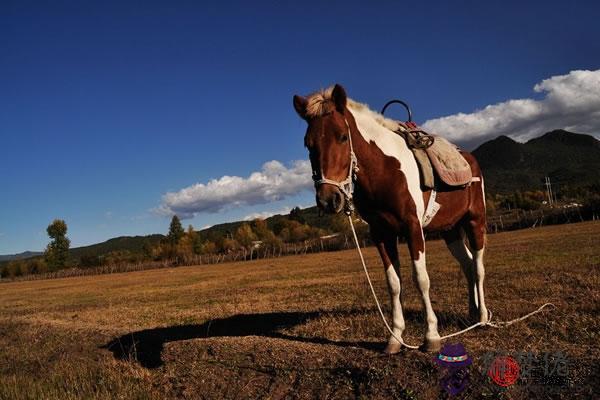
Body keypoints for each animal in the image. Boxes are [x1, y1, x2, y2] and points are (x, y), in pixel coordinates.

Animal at [294, 84, 488, 354]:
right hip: (450, 230)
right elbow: (393, 283)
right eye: (308, 144)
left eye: (343, 136)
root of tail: (468, 159)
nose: (328, 199)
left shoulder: (413, 228)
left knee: (478, 266)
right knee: (468, 265)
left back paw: (483, 317)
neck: (384, 170)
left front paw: (431, 336)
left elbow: (421, 279)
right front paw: (395, 337)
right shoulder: (382, 234)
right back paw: (471, 314)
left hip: (475, 221)